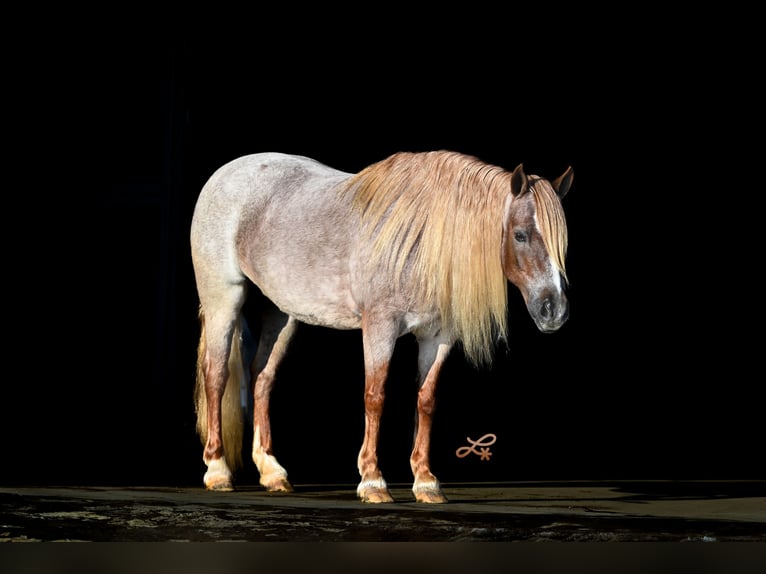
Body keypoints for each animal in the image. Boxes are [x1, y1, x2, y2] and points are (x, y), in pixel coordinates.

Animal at [190, 150, 573, 503]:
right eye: (520, 235)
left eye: (562, 244)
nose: (553, 311)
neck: (423, 240)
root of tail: (225, 173)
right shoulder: (380, 326)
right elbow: (375, 396)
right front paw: (373, 481)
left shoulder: (438, 336)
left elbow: (426, 400)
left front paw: (426, 482)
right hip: (223, 297)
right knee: (217, 374)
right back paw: (218, 470)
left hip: (281, 314)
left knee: (262, 378)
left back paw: (272, 472)